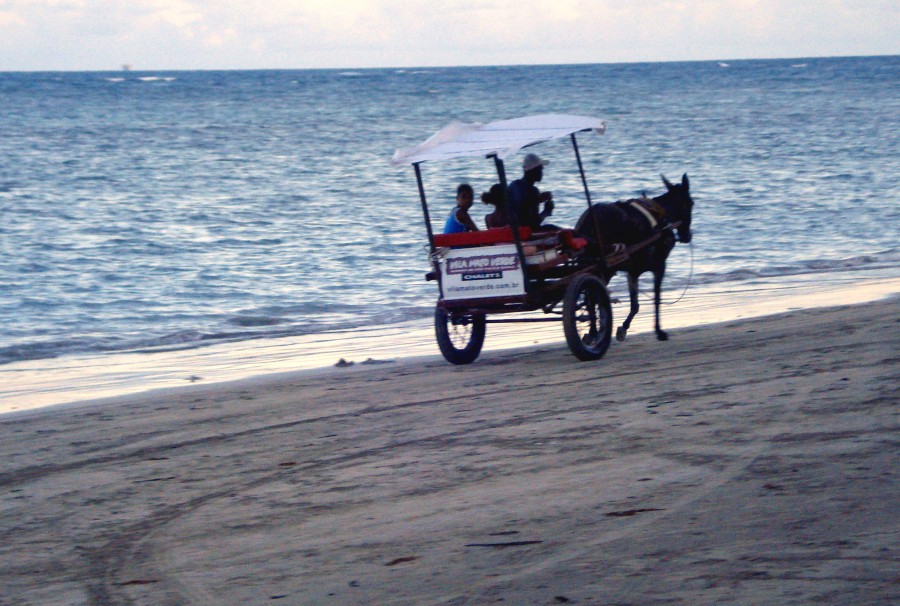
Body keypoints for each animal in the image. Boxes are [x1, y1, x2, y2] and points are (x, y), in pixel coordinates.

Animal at [576, 175, 696, 342]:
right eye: (691, 203)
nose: (687, 236)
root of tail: (588, 222)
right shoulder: (659, 266)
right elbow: (656, 299)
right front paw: (659, 331)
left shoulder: (632, 271)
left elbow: (635, 305)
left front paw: (623, 328)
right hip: (605, 269)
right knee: (593, 298)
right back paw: (594, 332)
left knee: (591, 298)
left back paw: (593, 331)